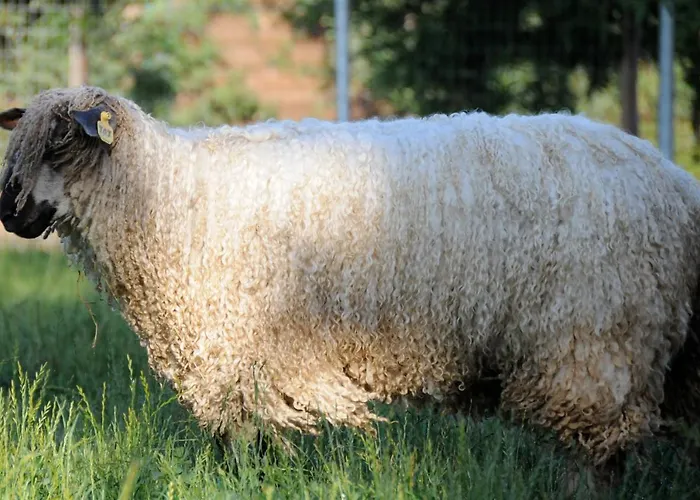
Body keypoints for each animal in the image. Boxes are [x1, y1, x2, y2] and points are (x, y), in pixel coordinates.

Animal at [2, 85, 700, 469]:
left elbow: (247, 438)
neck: (163, 193)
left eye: (61, 143)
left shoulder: (246, 343)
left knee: (597, 452)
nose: (10, 214)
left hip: (594, 337)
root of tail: (673, 182)